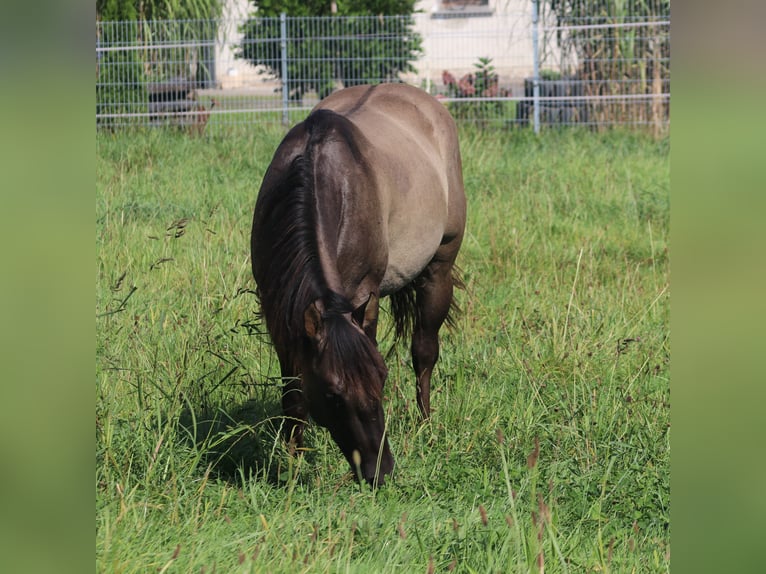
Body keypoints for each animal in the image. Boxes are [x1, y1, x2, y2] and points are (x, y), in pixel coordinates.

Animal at [252, 82, 468, 486]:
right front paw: (292, 458)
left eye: (381, 380)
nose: (380, 471)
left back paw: (425, 424)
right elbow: (293, 392)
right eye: (333, 395)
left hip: (439, 269)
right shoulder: (280, 311)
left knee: (424, 352)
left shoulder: (364, 299)